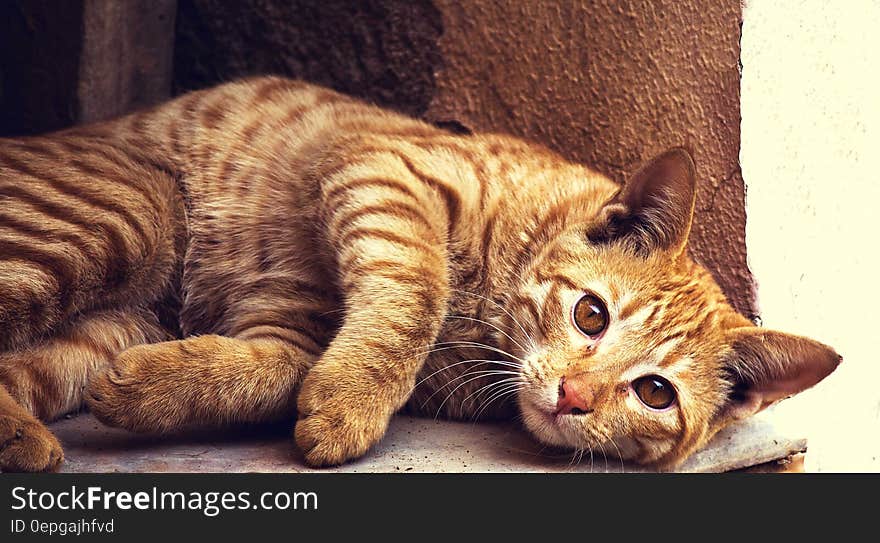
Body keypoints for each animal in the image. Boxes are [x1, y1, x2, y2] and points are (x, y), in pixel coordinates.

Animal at [0, 76, 840, 472]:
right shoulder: (381, 170)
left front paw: (155, 386)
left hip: (109, 316)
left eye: (655, 392)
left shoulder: (286, 317)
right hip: (127, 213)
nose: (573, 396)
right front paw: (353, 398)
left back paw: (23, 432)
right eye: (592, 315)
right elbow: (415, 289)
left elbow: (275, 365)